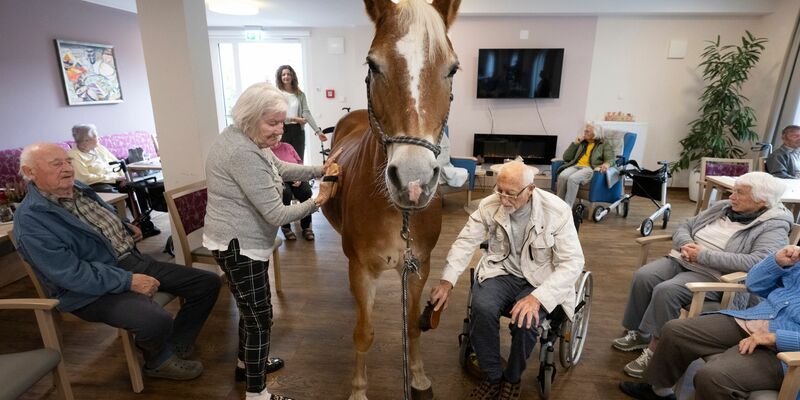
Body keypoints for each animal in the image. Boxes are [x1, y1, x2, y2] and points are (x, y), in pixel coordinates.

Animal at [321, 0, 461, 399]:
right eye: (372, 65)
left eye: (452, 68)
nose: (413, 181)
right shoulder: (362, 270)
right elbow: (364, 333)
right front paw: (358, 390)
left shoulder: (419, 267)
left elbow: (413, 326)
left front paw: (418, 376)